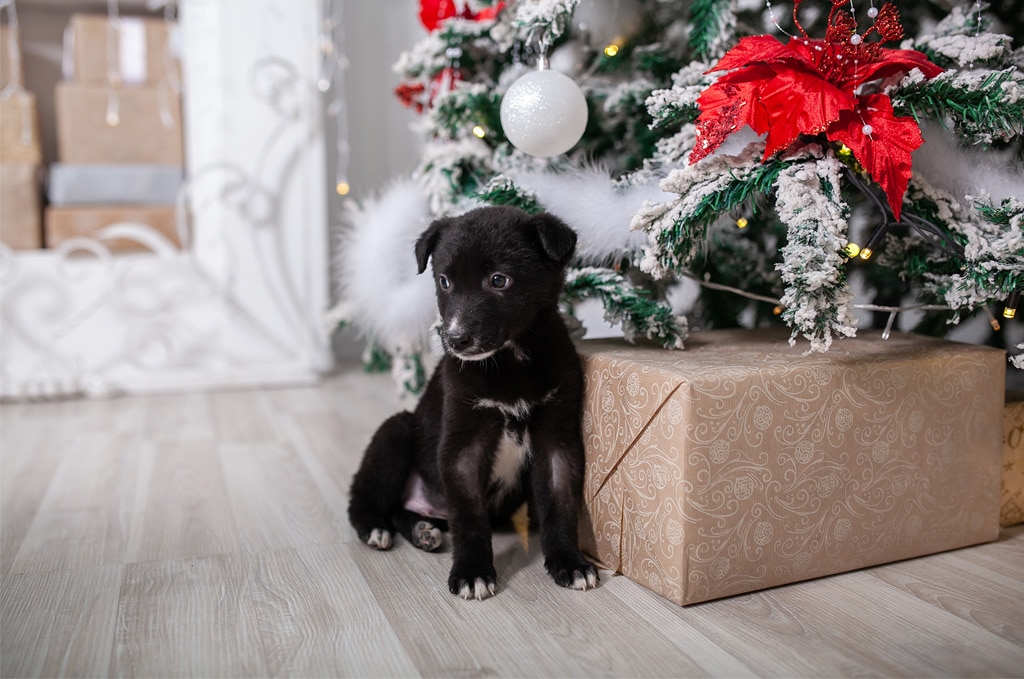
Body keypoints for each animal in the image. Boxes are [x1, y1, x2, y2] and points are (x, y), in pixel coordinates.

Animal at [348, 205, 598, 602]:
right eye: (444, 281)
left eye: (499, 280)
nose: (455, 340)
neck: (509, 363)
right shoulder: (463, 440)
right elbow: (468, 515)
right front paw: (472, 572)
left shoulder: (557, 436)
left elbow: (560, 502)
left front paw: (568, 562)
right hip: (396, 430)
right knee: (366, 498)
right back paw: (376, 528)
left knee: (406, 511)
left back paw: (422, 530)